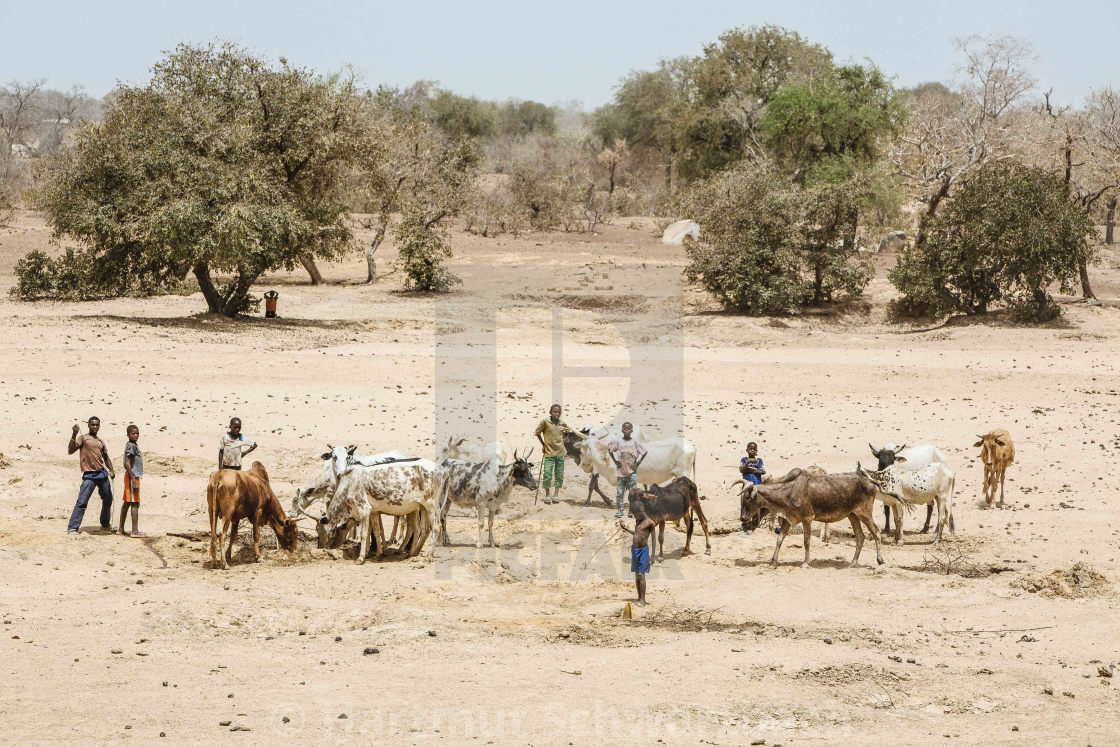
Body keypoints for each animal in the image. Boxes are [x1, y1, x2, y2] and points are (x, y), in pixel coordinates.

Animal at [734, 463, 909, 568]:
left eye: (747, 497)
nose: (743, 519)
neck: (788, 490)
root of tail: (870, 481)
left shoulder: (807, 519)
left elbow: (806, 541)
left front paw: (805, 563)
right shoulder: (789, 520)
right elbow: (779, 540)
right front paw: (773, 561)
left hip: (864, 513)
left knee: (876, 532)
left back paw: (880, 560)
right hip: (852, 515)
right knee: (860, 536)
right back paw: (853, 563)